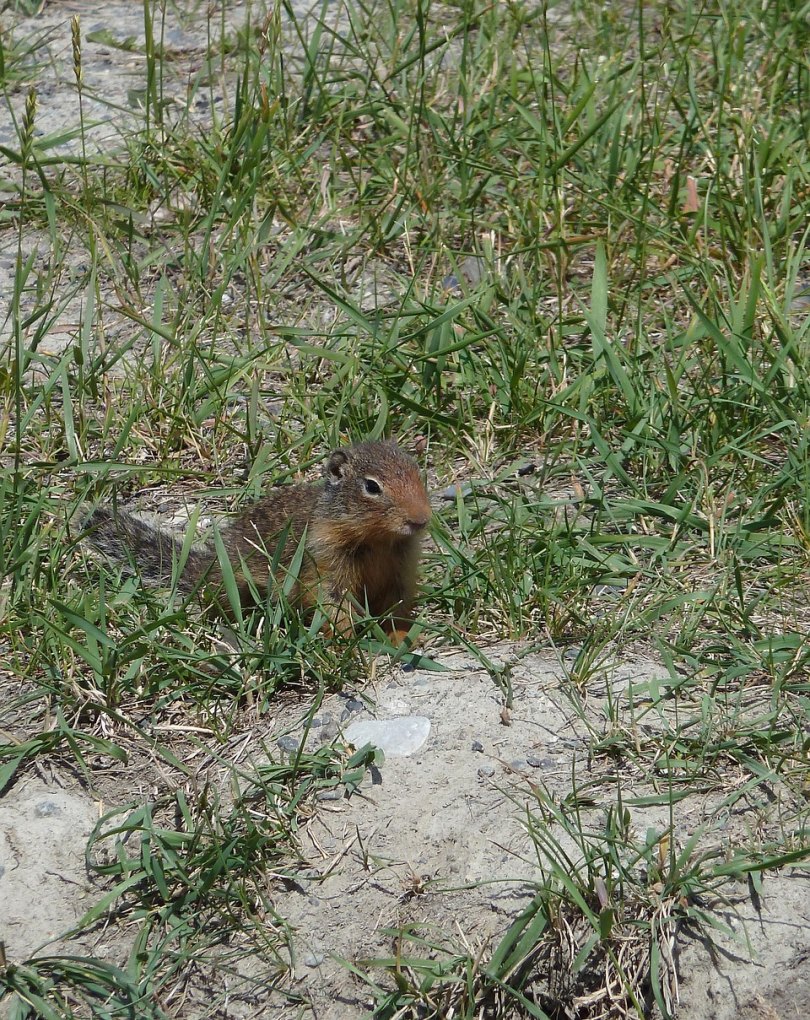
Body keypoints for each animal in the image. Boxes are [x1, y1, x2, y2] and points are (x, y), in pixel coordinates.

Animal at [83, 436, 428, 640]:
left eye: (417, 471)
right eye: (371, 486)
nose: (421, 519)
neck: (378, 540)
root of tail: (203, 567)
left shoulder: (401, 572)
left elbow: (397, 607)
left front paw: (402, 638)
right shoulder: (325, 563)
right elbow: (332, 606)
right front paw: (349, 643)